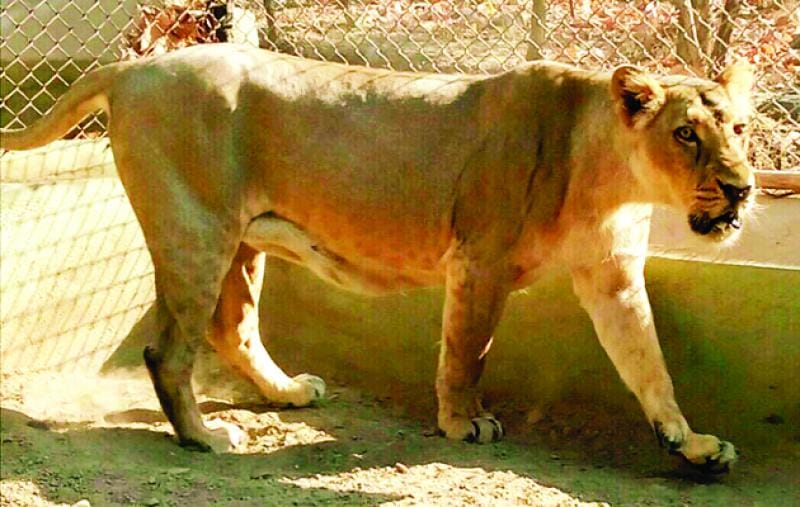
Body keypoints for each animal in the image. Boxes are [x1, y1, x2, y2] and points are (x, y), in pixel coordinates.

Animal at [1, 43, 754, 473]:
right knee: (167, 351)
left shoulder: (614, 278)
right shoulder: (480, 258)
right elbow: (467, 351)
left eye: (739, 128)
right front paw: (463, 422)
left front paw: (690, 443)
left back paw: (286, 392)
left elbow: (650, 367)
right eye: (686, 133)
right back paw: (207, 438)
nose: (744, 188)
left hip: (239, 241)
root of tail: (133, 64)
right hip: (198, 228)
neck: (612, 181)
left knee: (233, 330)